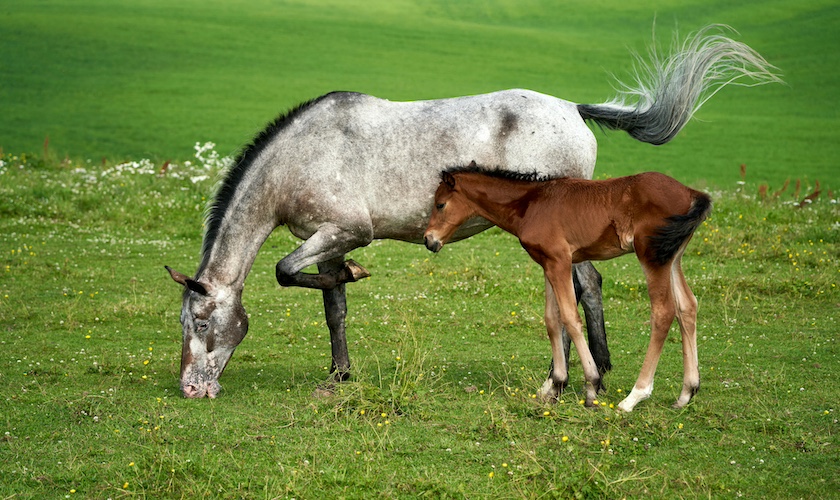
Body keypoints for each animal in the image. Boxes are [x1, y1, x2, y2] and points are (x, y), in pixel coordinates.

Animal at [423, 167, 712, 411]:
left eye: (440, 204)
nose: (429, 240)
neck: (530, 204)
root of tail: (692, 193)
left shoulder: (560, 260)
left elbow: (571, 319)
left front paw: (591, 387)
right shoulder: (548, 263)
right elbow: (553, 320)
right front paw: (555, 386)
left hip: (652, 255)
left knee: (663, 312)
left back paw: (634, 397)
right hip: (673, 257)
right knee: (688, 306)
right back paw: (686, 393)